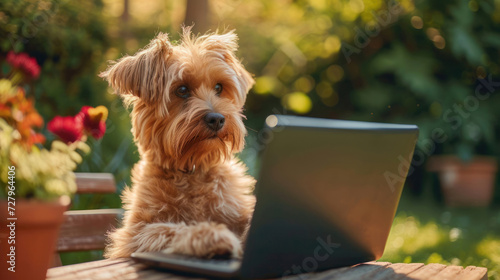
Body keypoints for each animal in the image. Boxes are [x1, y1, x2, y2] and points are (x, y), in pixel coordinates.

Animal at [102, 27, 258, 258]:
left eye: (219, 87)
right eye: (182, 90)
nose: (217, 119)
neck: (192, 169)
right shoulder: (133, 237)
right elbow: (169, 229)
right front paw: (212, 235)